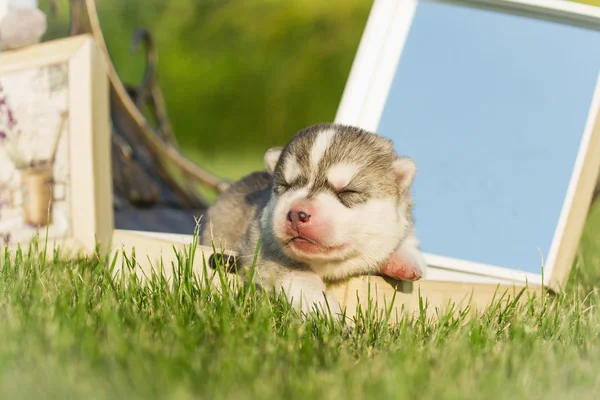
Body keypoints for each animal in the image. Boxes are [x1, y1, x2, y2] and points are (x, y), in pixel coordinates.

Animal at [199, 123, 428, 318]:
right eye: (285, 185)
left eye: (347, 191)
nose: (296, 214)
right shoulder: (263, 250)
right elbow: (301, 278)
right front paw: (325, 311)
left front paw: (402, 259)